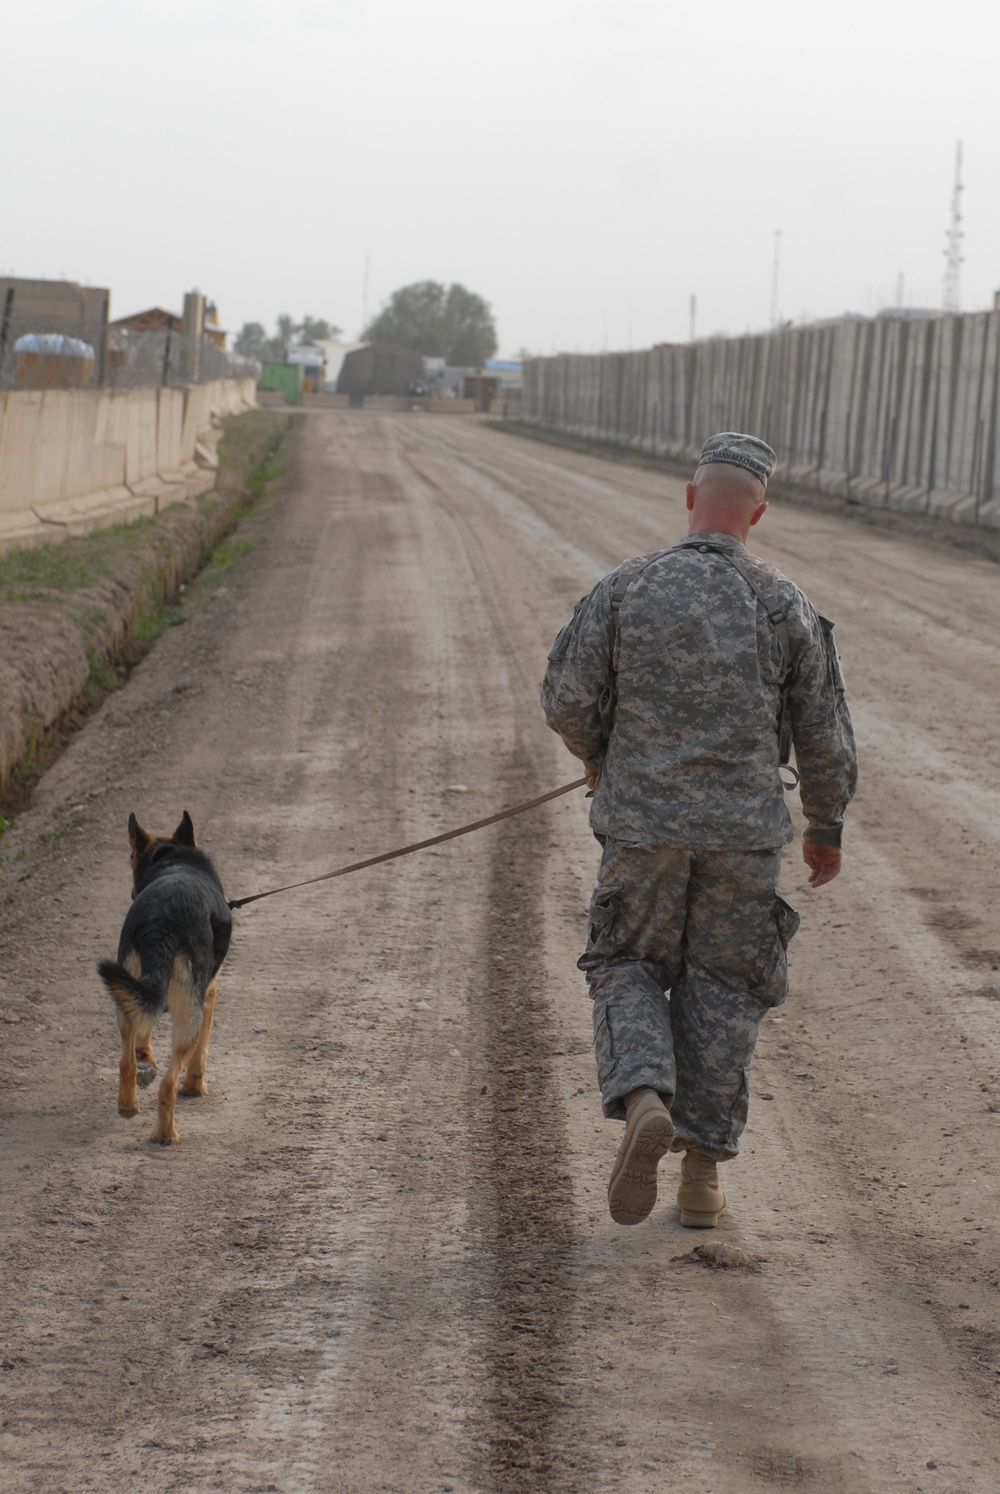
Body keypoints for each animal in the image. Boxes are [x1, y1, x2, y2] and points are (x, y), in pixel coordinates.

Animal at [96, 818, 231, 1141]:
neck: (173, 858)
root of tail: (160, 922)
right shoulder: (209, 994)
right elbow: (201, 1052)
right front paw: (194, 1084)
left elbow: (143, 1040)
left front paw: (146, 1057)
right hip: (189, 1017)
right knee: (168, 1081)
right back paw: (166, 1135)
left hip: (124, 993)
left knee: (125, 1061)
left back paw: (128, 1105)